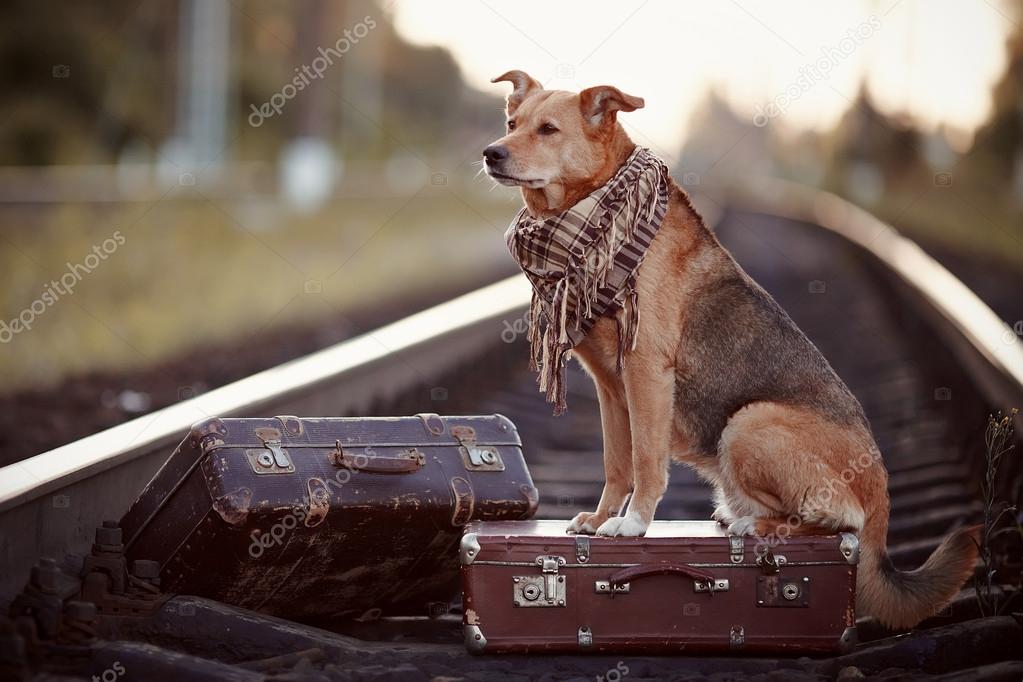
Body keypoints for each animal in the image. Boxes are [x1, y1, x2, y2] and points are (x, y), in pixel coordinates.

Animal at [486, 70, 982, 629]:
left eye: (548, 129)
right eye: (512, 123)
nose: (490, 153)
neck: (591, 220)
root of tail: (882, 504)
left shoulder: (645, 372)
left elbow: (646, 462)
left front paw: (634, 524)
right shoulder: (610, 387)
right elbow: (617, 463)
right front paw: (600, 518)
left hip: (749, 422)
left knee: (839, 521)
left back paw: (758, 528)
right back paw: (741, 516)